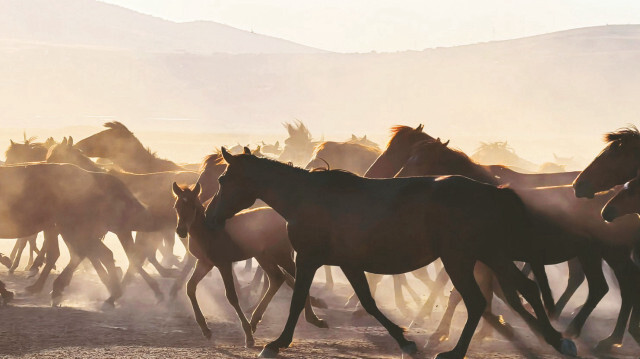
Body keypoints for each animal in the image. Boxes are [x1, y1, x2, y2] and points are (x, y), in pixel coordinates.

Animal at [172, 184, 328, 348]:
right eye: (177, 206)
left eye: (193, 206)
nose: (181, 231)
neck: (207, 232)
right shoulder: (204, 263)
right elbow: (190, 287)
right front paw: (206, 330)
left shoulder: (223, 263)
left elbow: (232, 296)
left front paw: (248, 336)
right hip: (263, 256)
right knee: (277, 278)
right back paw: (256, 320)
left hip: (280, 255)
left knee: (293, 278)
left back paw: (313, 319)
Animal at [205, 148, 576, 359]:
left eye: (222, 180)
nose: (209, 215)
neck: (307, 198)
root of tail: (493, 191)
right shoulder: (348, 263)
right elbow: (368, 303)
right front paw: (404, 340)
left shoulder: (309, 259)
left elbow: (299, 301)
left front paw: (275, 343)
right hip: (490, 254)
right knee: (525, 290)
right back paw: (558, 341)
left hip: (460, 259)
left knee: (476, 302)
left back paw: (455, 351)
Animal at [400, 139, 640, 352]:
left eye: (420, 161)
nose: (399, 179)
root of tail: (612, 201)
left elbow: (462, 292)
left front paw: (440, 333)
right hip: (590, 253)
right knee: (602, 285)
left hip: (610, 252)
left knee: (621, 285)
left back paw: (599, 335)